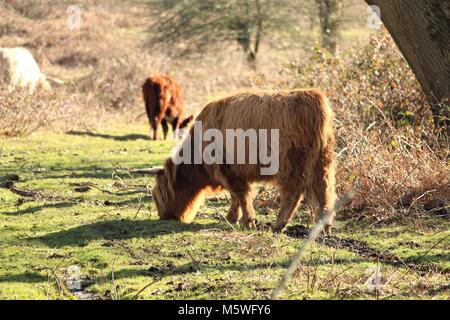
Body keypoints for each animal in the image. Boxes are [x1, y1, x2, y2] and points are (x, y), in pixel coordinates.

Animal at [149, 89, 336, 232]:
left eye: (157, 195)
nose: (163, 217)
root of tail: (313, 96)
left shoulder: (227, 169)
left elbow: (241, 194)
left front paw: (247, 221)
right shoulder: (234, 172)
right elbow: (235, 196)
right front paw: (232, 217)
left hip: (291, 163)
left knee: (293, 192)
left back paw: (279, 224)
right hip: (322, 161)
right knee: (324, 191)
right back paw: (324, 227)